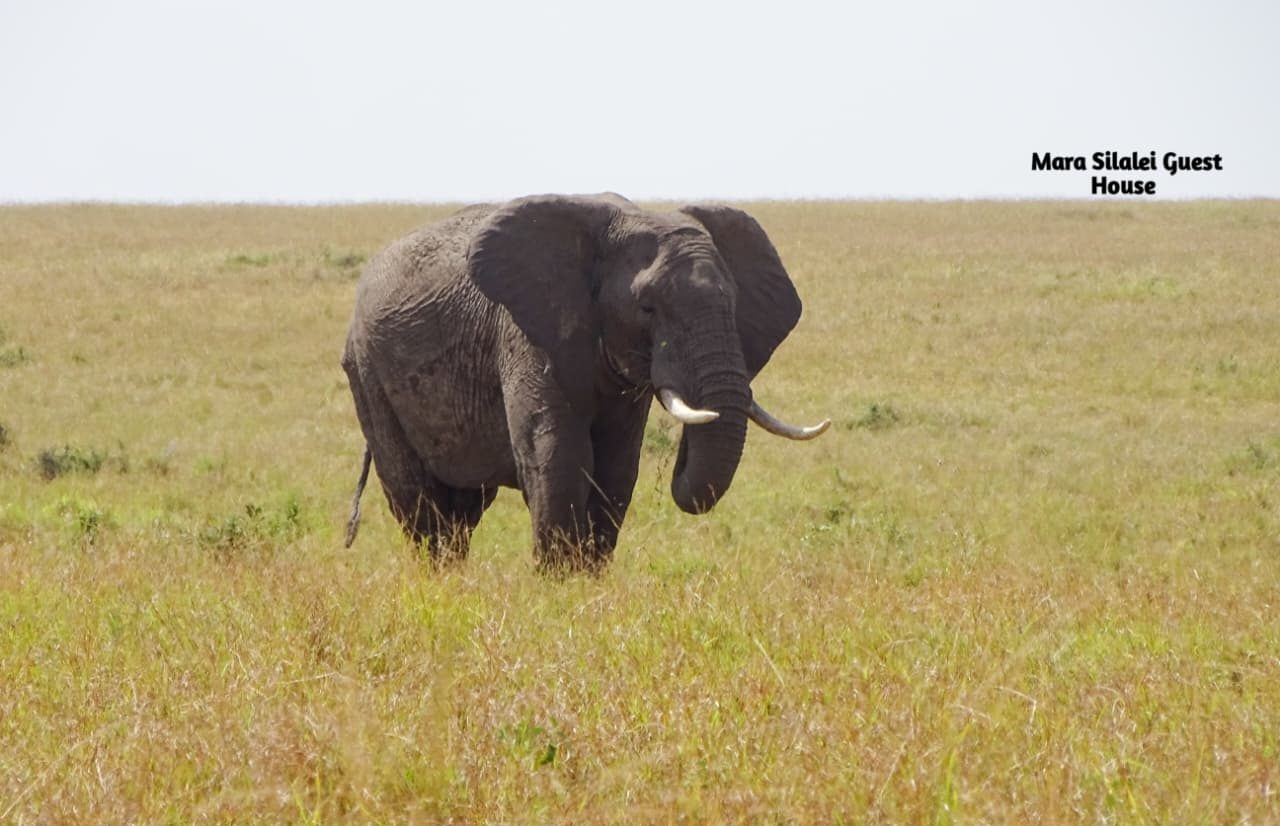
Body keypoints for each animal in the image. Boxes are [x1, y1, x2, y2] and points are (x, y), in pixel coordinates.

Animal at [341, 193, 829, 571]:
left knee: (463, 508)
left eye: (733, 303)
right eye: (647, 307)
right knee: (419, 501)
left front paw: (588, 582)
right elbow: (557, 455)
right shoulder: (525, 330)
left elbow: (616, 468)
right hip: (366, 371)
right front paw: (557, 589)